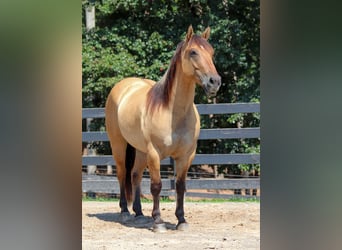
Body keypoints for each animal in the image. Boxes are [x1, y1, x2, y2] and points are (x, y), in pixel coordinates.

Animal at [105, 25, 222, 232]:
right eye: (193, 52)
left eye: (211, 52)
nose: (214, 82)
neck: (172, 112)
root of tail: (122, 86)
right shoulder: (154, 154)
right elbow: (156, 186)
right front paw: (158, 222)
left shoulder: (186, 155)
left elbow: (180, 186)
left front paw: (181, 220)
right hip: (119, 144)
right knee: (122, 173)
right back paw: (125, 212)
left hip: (140, 150)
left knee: (135, 175)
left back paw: (139, 214)